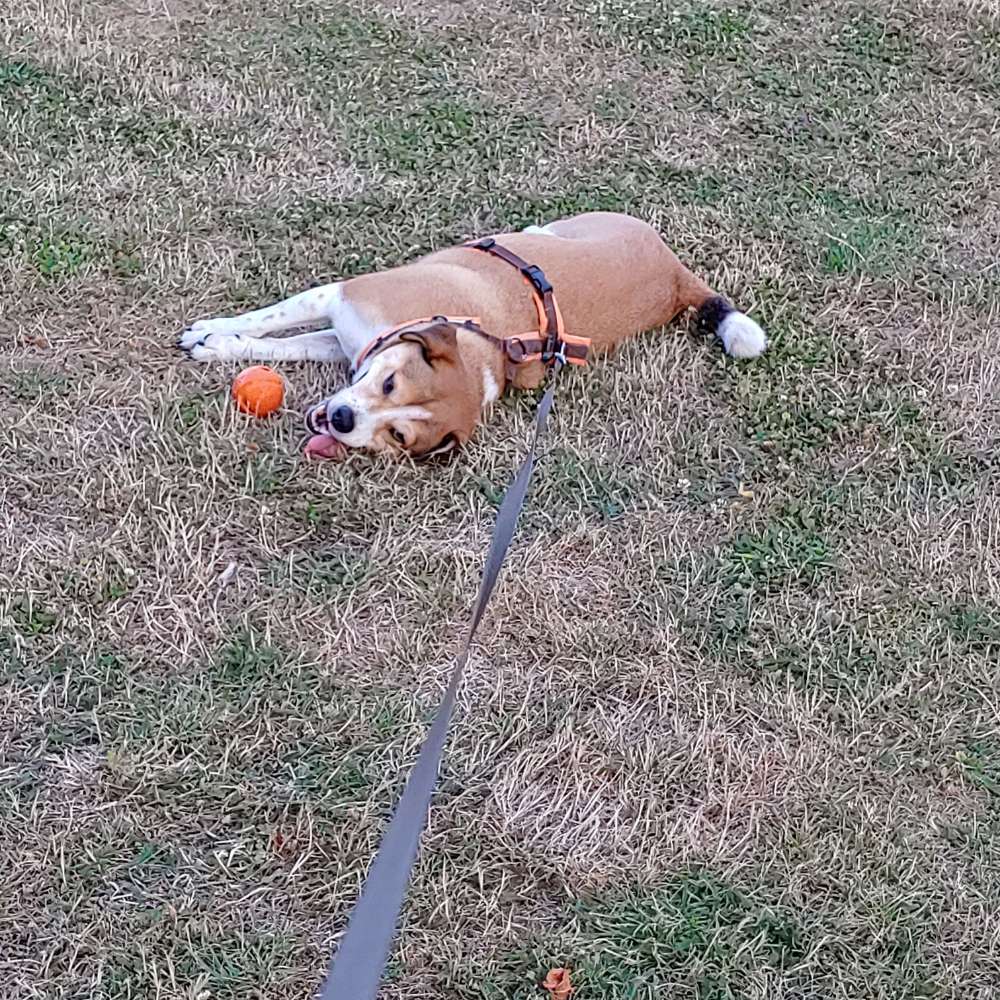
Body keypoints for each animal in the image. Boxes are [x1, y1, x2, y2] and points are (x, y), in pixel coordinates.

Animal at [178, 214, 764, 460]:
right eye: (389, 384)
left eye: (398, 436)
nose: (342, 420)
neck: (477, 341)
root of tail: (676, 276)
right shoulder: (340, 302)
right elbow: (269, 323)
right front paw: (214, 334)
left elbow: (283, 338)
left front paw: (216, 343)